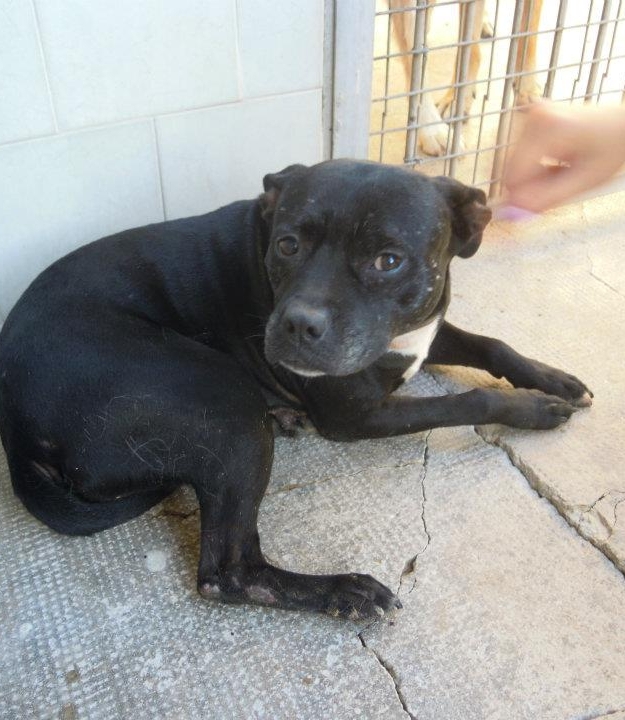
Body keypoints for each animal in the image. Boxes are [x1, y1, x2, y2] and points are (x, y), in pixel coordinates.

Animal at [0, 160, 590, 619]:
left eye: (388, 260)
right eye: (287, 245)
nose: (299, 325)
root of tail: (16, 429)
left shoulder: (422, 333)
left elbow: (492, 345)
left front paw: (551, 377)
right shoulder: (356, 417)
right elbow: (470, 399)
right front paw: (534, 407)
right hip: (226, 402)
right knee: (230, 572)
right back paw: (341, 591)